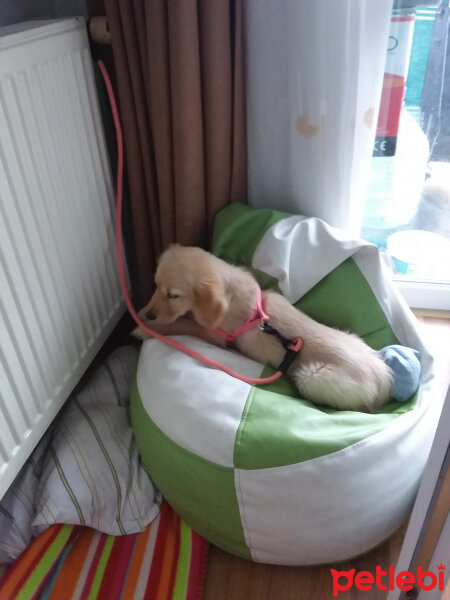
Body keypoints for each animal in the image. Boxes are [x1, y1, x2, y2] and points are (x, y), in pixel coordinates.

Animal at [132, 245, 392, 412]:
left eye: (174, 295)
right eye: (156, 285)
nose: (151, 313)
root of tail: (384, 380)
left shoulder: (214, 335)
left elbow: (180, 323)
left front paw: (145, 327)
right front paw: (143, 313)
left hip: (310, 377)